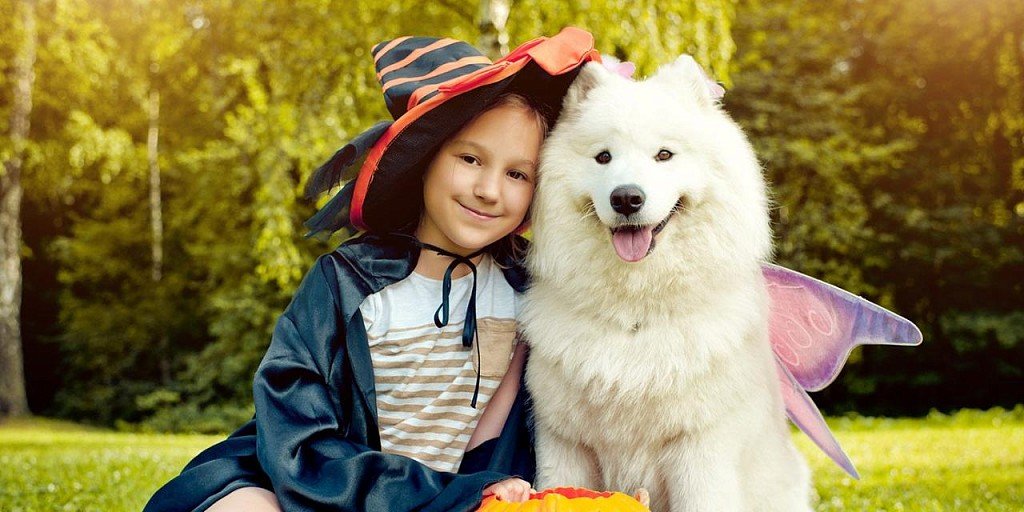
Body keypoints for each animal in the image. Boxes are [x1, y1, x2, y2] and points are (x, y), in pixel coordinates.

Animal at [524, 57, 811, 512]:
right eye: (603, 157)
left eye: (664, 155)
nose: (626, 198)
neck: (635, 311)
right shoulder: (564, 442)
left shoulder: (700, 450)